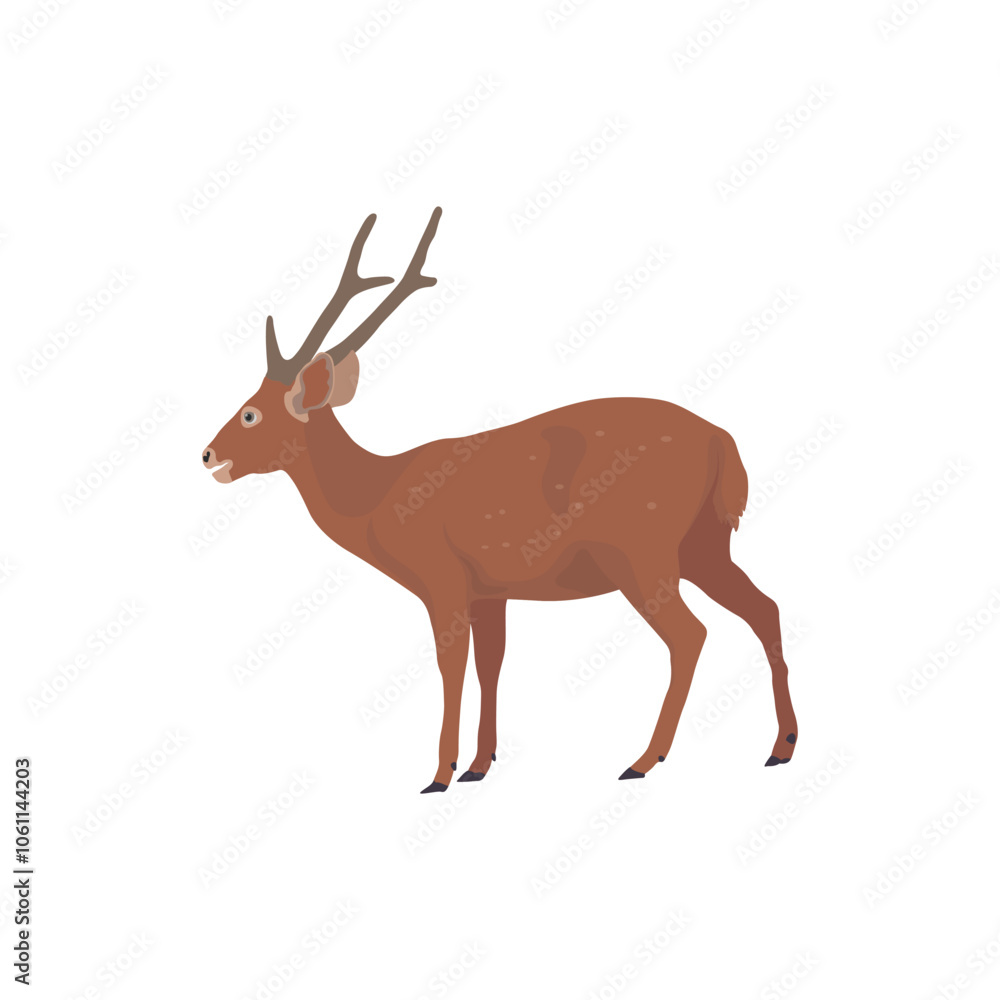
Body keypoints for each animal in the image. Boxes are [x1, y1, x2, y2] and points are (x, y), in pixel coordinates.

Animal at [203, 207, 798, 793]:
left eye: (251, 412)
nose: (207, 454)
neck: (379, 499)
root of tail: (724, 442)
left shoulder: (440, 573)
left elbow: (452, 665)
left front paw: (439, 774)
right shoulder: (490, 589)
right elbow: (492, 664)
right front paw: (479, 765)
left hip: (640, 546)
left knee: (691, 634)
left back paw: (643, 759)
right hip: (703, 543)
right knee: (765, 607)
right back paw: (781, 747)